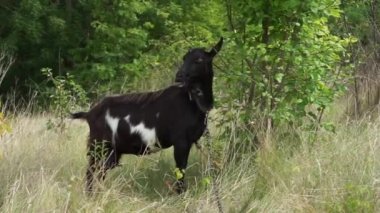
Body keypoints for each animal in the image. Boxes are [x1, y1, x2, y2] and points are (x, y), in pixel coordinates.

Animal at [71, 37, 223, 194]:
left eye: (199, 59)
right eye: (184, 58)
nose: (179, 76)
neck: (191, 100)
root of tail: (89, 114)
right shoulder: (181, 142)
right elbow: (180, 174)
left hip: (112, 152)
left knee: (100, 172)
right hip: (98, 146)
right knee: (90, 172)